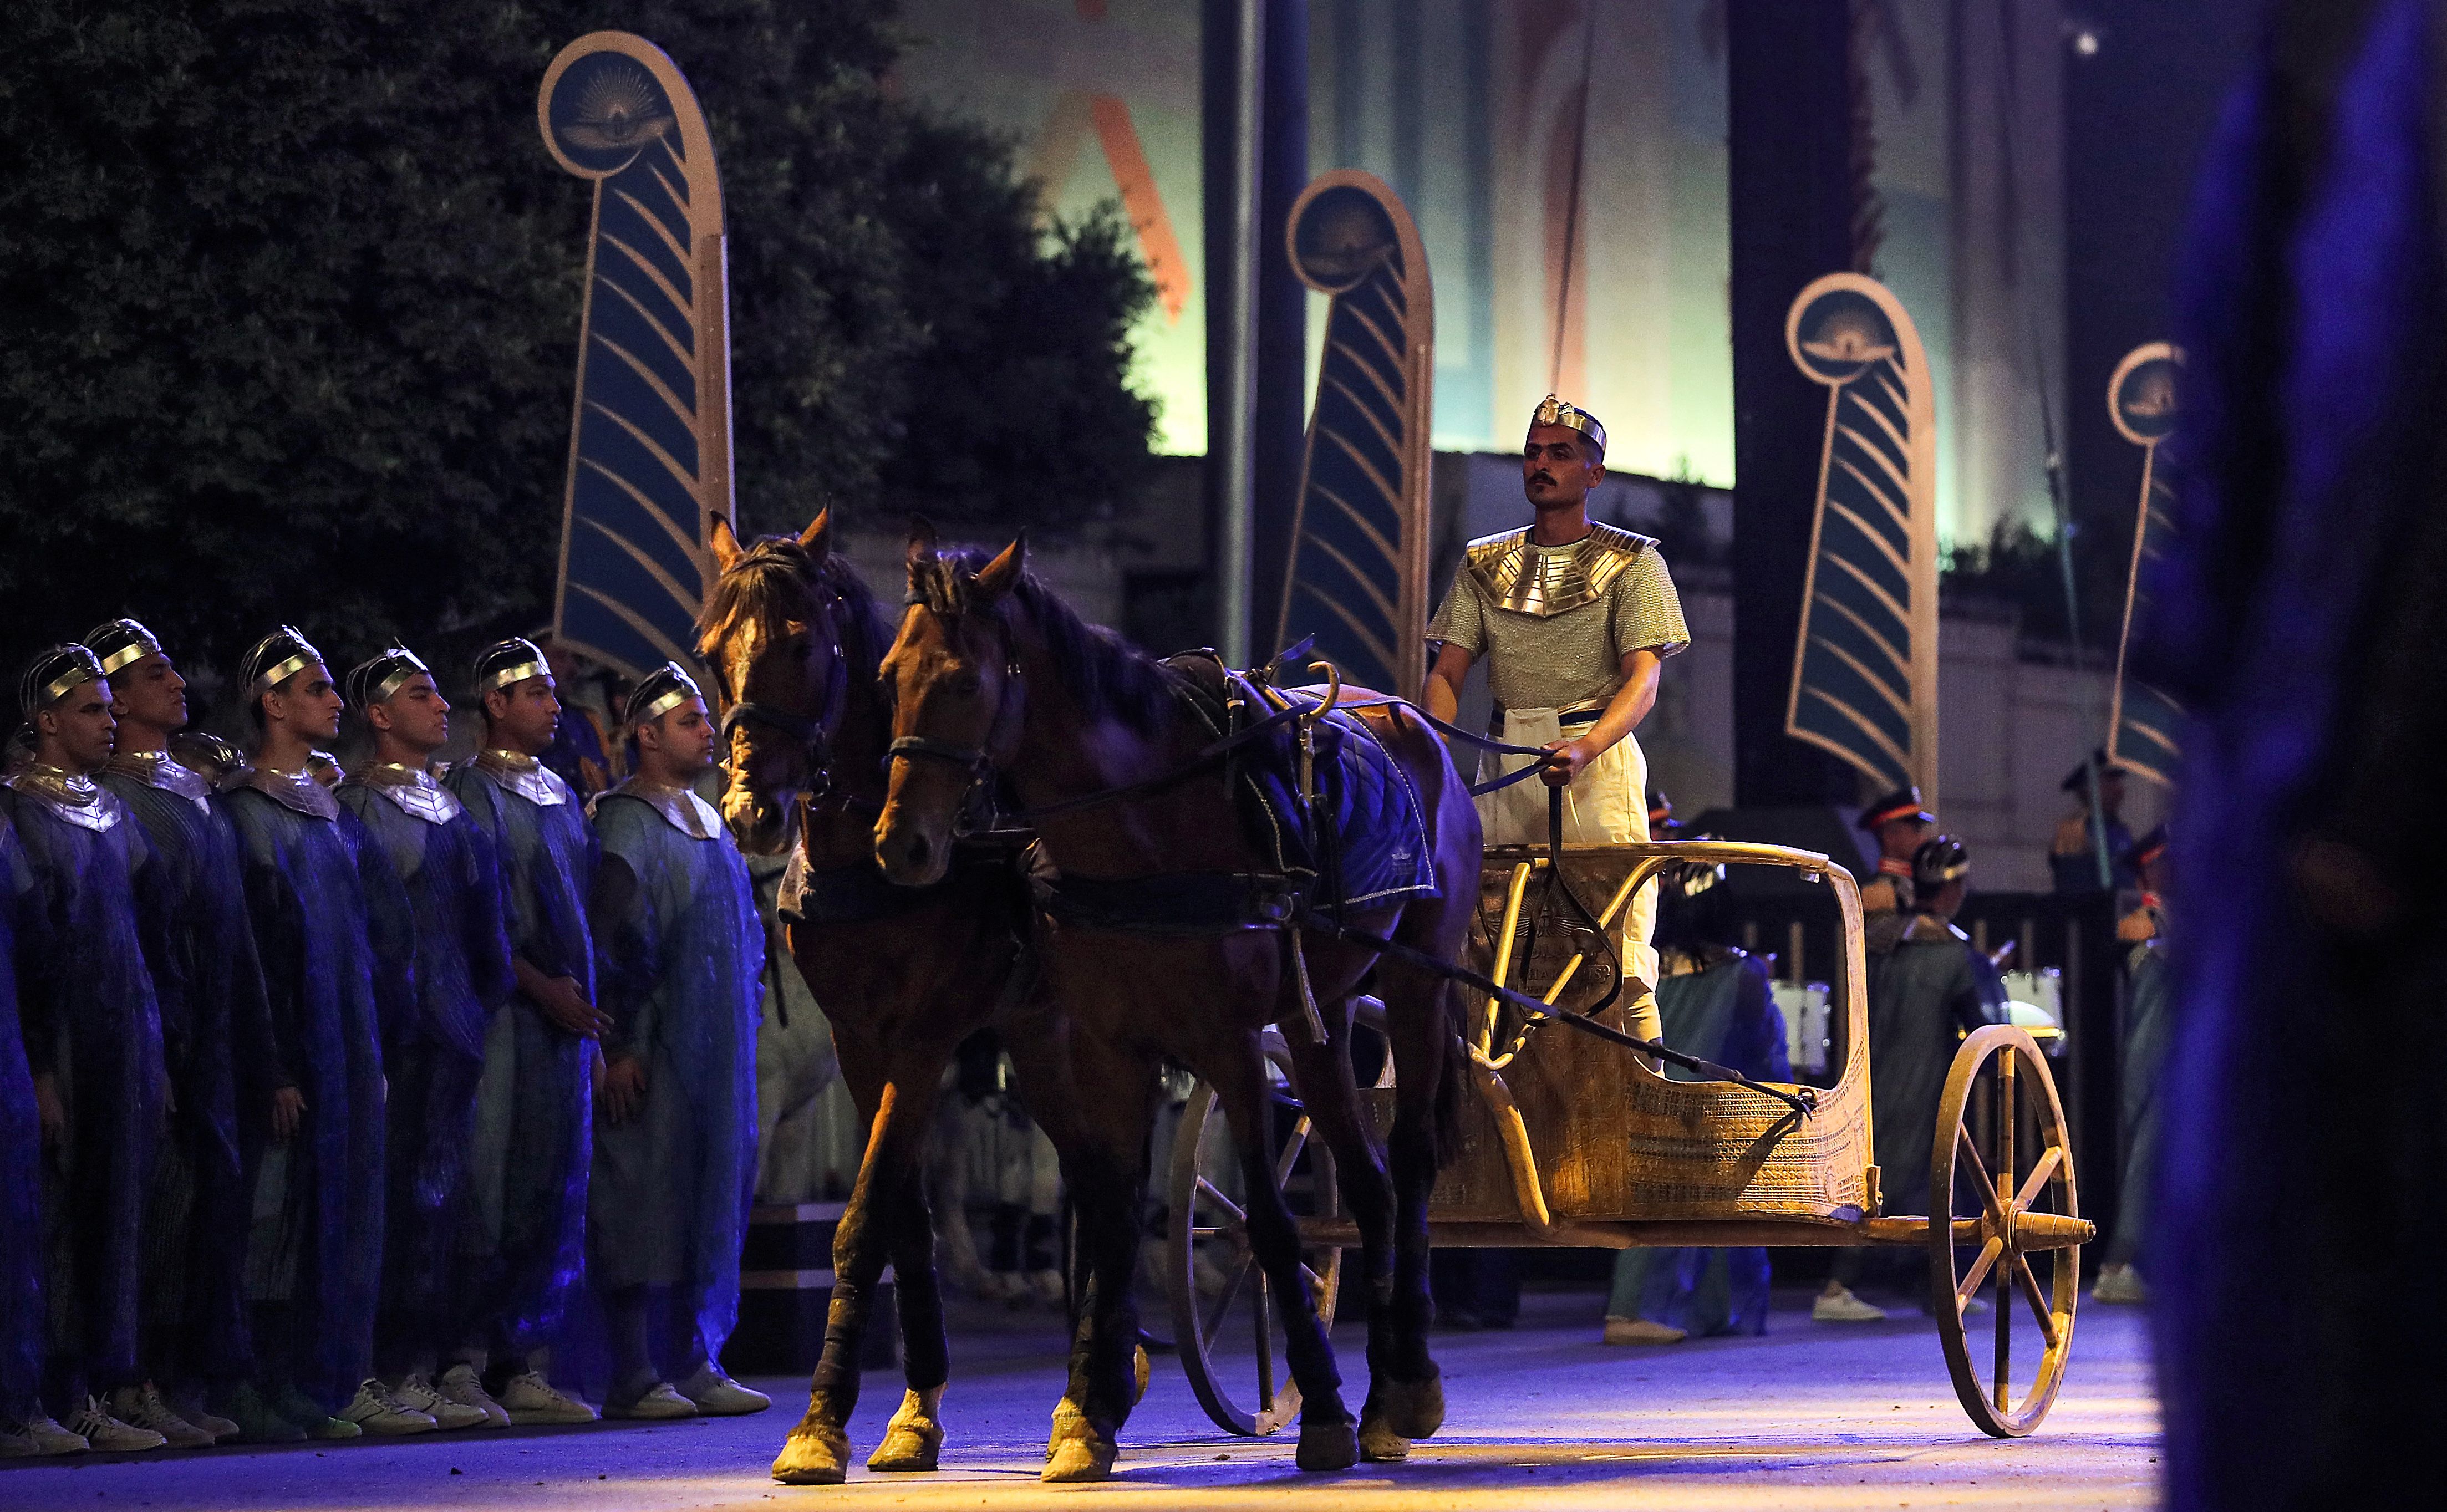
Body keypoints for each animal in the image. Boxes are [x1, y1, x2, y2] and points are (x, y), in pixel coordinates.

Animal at [695, 511, 1067, 1478]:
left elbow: (863, 1218)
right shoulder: (862, 1042)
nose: (750, 810)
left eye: (800, 642)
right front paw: (903, 1408)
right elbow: (901, 1213)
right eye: (711, 651)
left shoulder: (927, 1038)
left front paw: (825, 1417)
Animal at [886, 526, 1488, 1468]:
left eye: (963, 681)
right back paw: (1382, 1393)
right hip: (1318, 1010)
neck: (1142, 831)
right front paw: (1088, 1413)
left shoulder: (1229, 1043)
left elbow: (1271, 1222)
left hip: (1416, 978)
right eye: (888, 675)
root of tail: (1406, 718)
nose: (901, 842)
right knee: (1368, 1179)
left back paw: (1408, 1379)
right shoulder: (1107, 1044)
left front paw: (1320, 1407)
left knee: (1414, 1158)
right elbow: (1112, 1213)